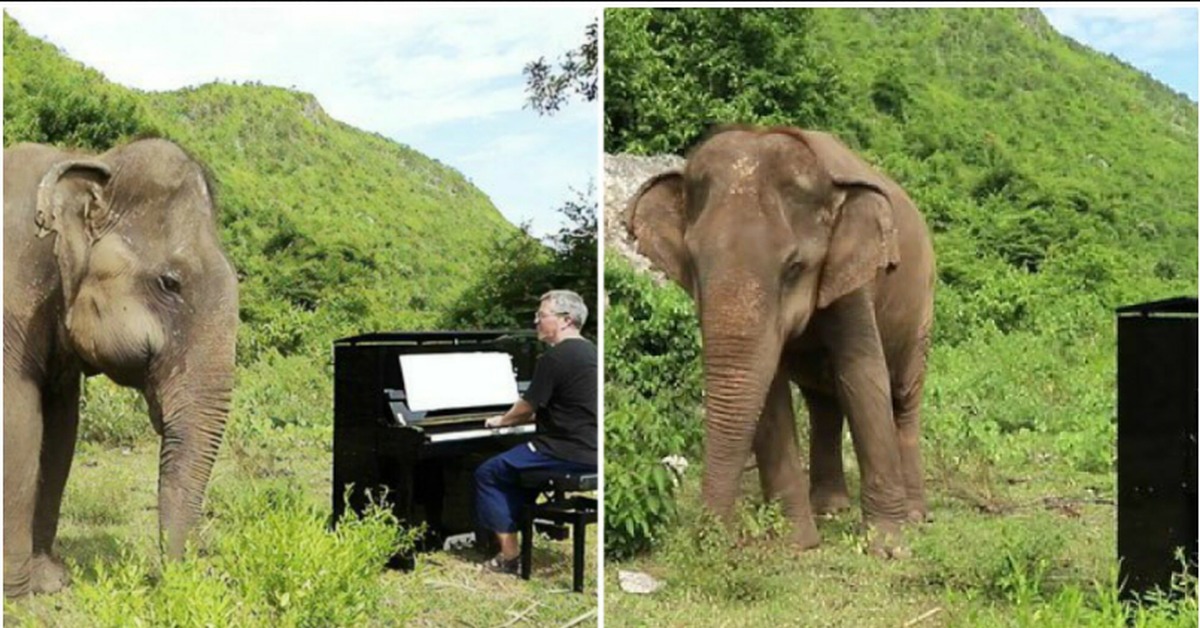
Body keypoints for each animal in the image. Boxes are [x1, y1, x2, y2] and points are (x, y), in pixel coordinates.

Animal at [4, 139, 238, 597]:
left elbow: (60, 430)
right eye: (170, 283)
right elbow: (19, 422)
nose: (168, 581)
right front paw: (19, 597)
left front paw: (51, 581)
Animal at [628, 126, 936, 554]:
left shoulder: (854, 282)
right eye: (693, 262)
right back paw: (830, 510)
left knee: (903, 398)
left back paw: (915, 515)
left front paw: (889, 549)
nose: (713, 539)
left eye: (794, 267)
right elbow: (770, 392)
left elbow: (863, 378)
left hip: (922, 305)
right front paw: (798, 545)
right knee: (824, 404)